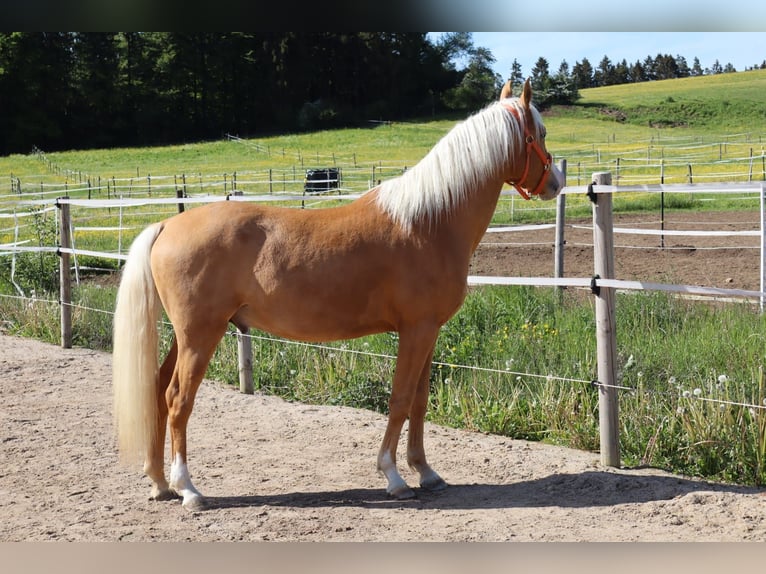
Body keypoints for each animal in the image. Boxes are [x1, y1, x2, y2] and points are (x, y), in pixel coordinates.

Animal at [112, 79, 564, 511]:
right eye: (539, 133)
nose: (556, 183)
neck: (428, 222)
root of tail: (167, 225)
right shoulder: (415, 330)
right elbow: (399, 399)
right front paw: (394, 477)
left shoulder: (429, 331)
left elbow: (419, 401)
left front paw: (426, 472)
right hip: (200, 335)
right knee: (178, 400)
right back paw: (188, 489)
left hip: (187, 335)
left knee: (158, 389)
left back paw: (159, 483)